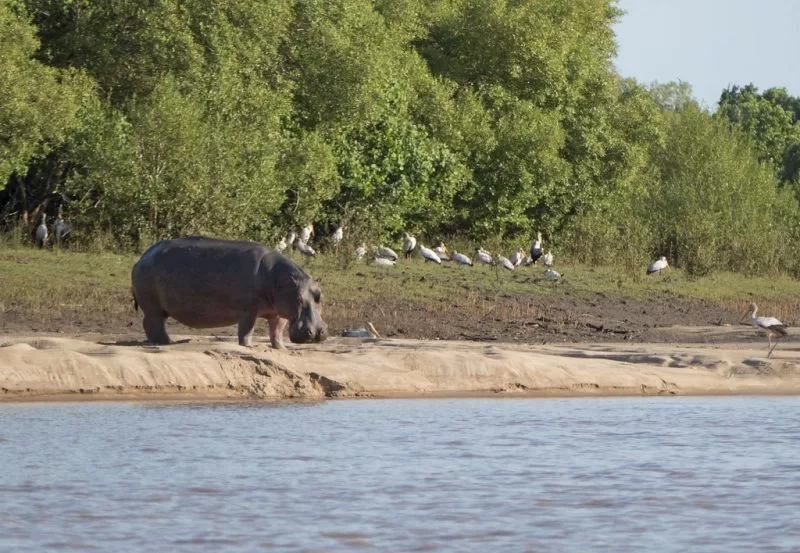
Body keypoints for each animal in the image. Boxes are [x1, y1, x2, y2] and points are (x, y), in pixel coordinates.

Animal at [131, 236, 327, 348]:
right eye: (298, 298)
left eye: (319, 297)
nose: (318, 333)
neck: (281, 280)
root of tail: (142, 257)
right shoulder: (249, 310)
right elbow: (247, 329)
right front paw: (248, 347)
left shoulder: (278, 313)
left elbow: (276, 332)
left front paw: (281, 348)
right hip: (153, 306)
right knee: (152, 324)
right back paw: (166, 342)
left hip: (160, 308)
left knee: (151, 323)